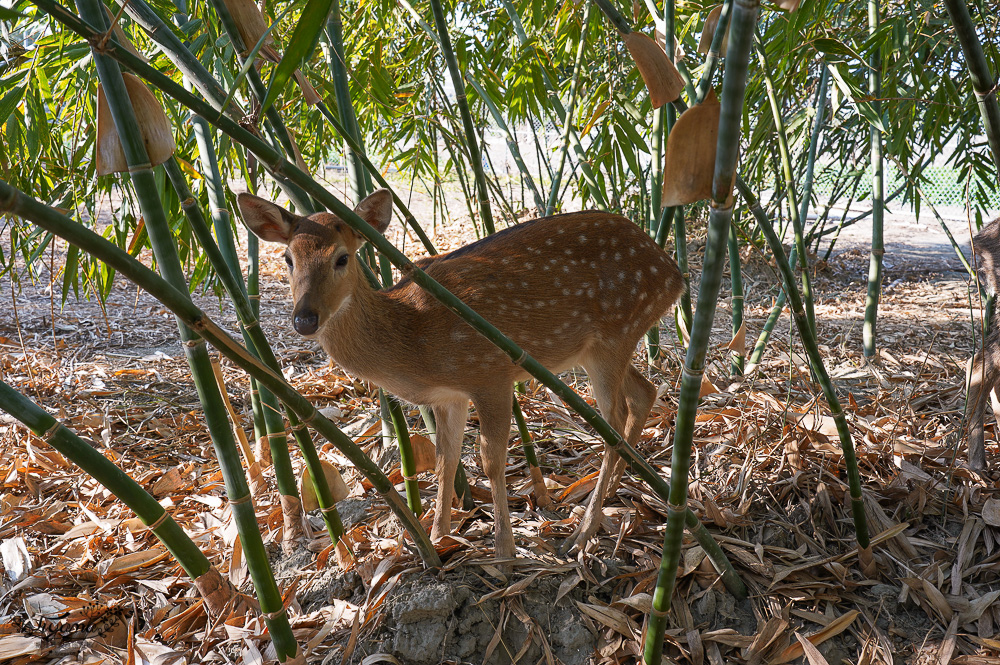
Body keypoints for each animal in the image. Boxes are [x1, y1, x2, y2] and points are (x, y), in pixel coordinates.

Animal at [238, 189, 684, 556]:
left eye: (341, 258)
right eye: (288, 259)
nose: (305, 318)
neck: (415, 339)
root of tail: (674, 275)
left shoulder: (491, 373)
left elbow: (490, 460)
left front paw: (504, 551)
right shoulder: (447, 396)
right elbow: (445, 460)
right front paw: (437, 536)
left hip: (616, 330)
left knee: (615, 420)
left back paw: (581, 533)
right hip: (599, 347)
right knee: (645, 392)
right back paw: (621, 489)